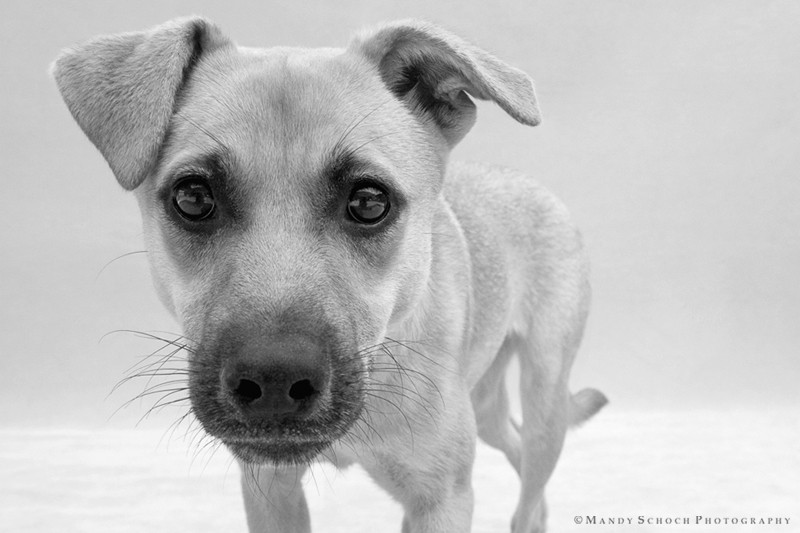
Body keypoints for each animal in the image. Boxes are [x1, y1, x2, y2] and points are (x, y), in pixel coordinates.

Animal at [53, 17, 607, 532]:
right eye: (192, 197)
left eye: (369, 202)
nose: (274, 380)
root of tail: (529, 183)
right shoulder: (270, 488)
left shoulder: (441, 500)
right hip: (489, 404)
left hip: (545, 401)